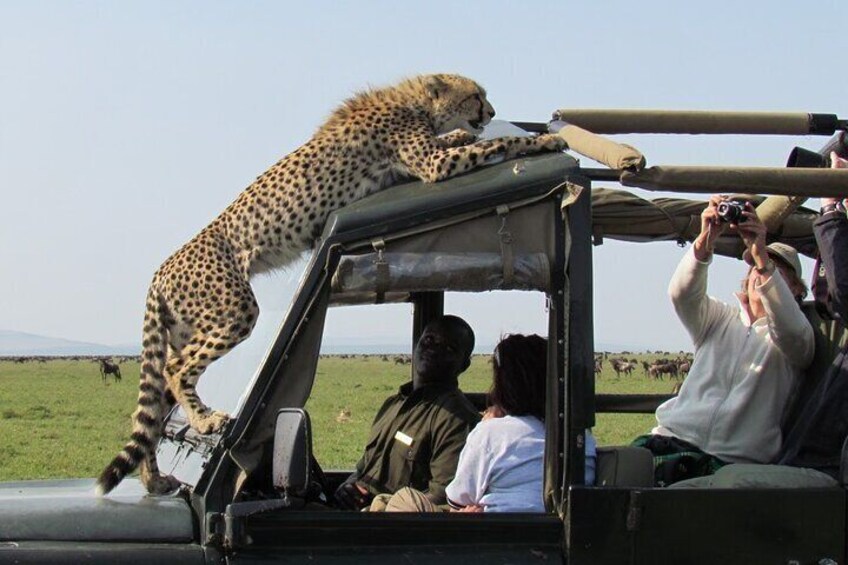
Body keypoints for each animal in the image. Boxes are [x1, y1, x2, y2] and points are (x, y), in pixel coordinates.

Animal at [96, 73, 565, 495]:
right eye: (475, 96)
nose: (491, 112)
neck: (415, 102)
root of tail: (160, 270)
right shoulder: (432, 164)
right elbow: (493, 147)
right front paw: (539, 144)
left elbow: (467, 142)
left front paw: (476, 134)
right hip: (233, 311)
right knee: (175, 371)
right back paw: (205, 421)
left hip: (187, 328)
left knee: (156, 402)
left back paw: (154, 480)